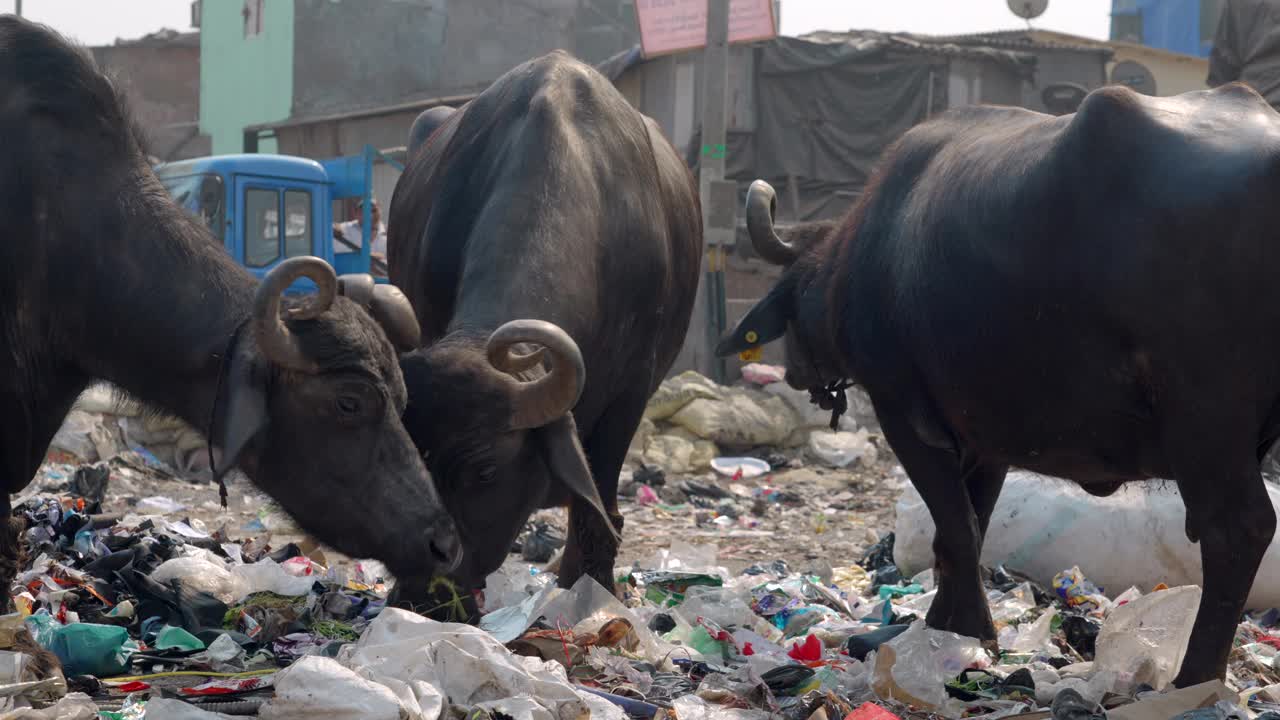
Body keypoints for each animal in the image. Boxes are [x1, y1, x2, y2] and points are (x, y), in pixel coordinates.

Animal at [389, 50, 706, 599]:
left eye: (485, 471)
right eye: (414, 457)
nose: (423, 592)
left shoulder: (632, 390)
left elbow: (597, 507)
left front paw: (589, 587)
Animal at [716, 81, 1280, 681]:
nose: (797, 372)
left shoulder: (905, 416)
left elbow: (956, 527)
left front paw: (965, 627)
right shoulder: (986, 442)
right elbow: (969, 525)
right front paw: (948, 622)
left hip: (1205, 424)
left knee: (1237, 528)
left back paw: (1196, 675)